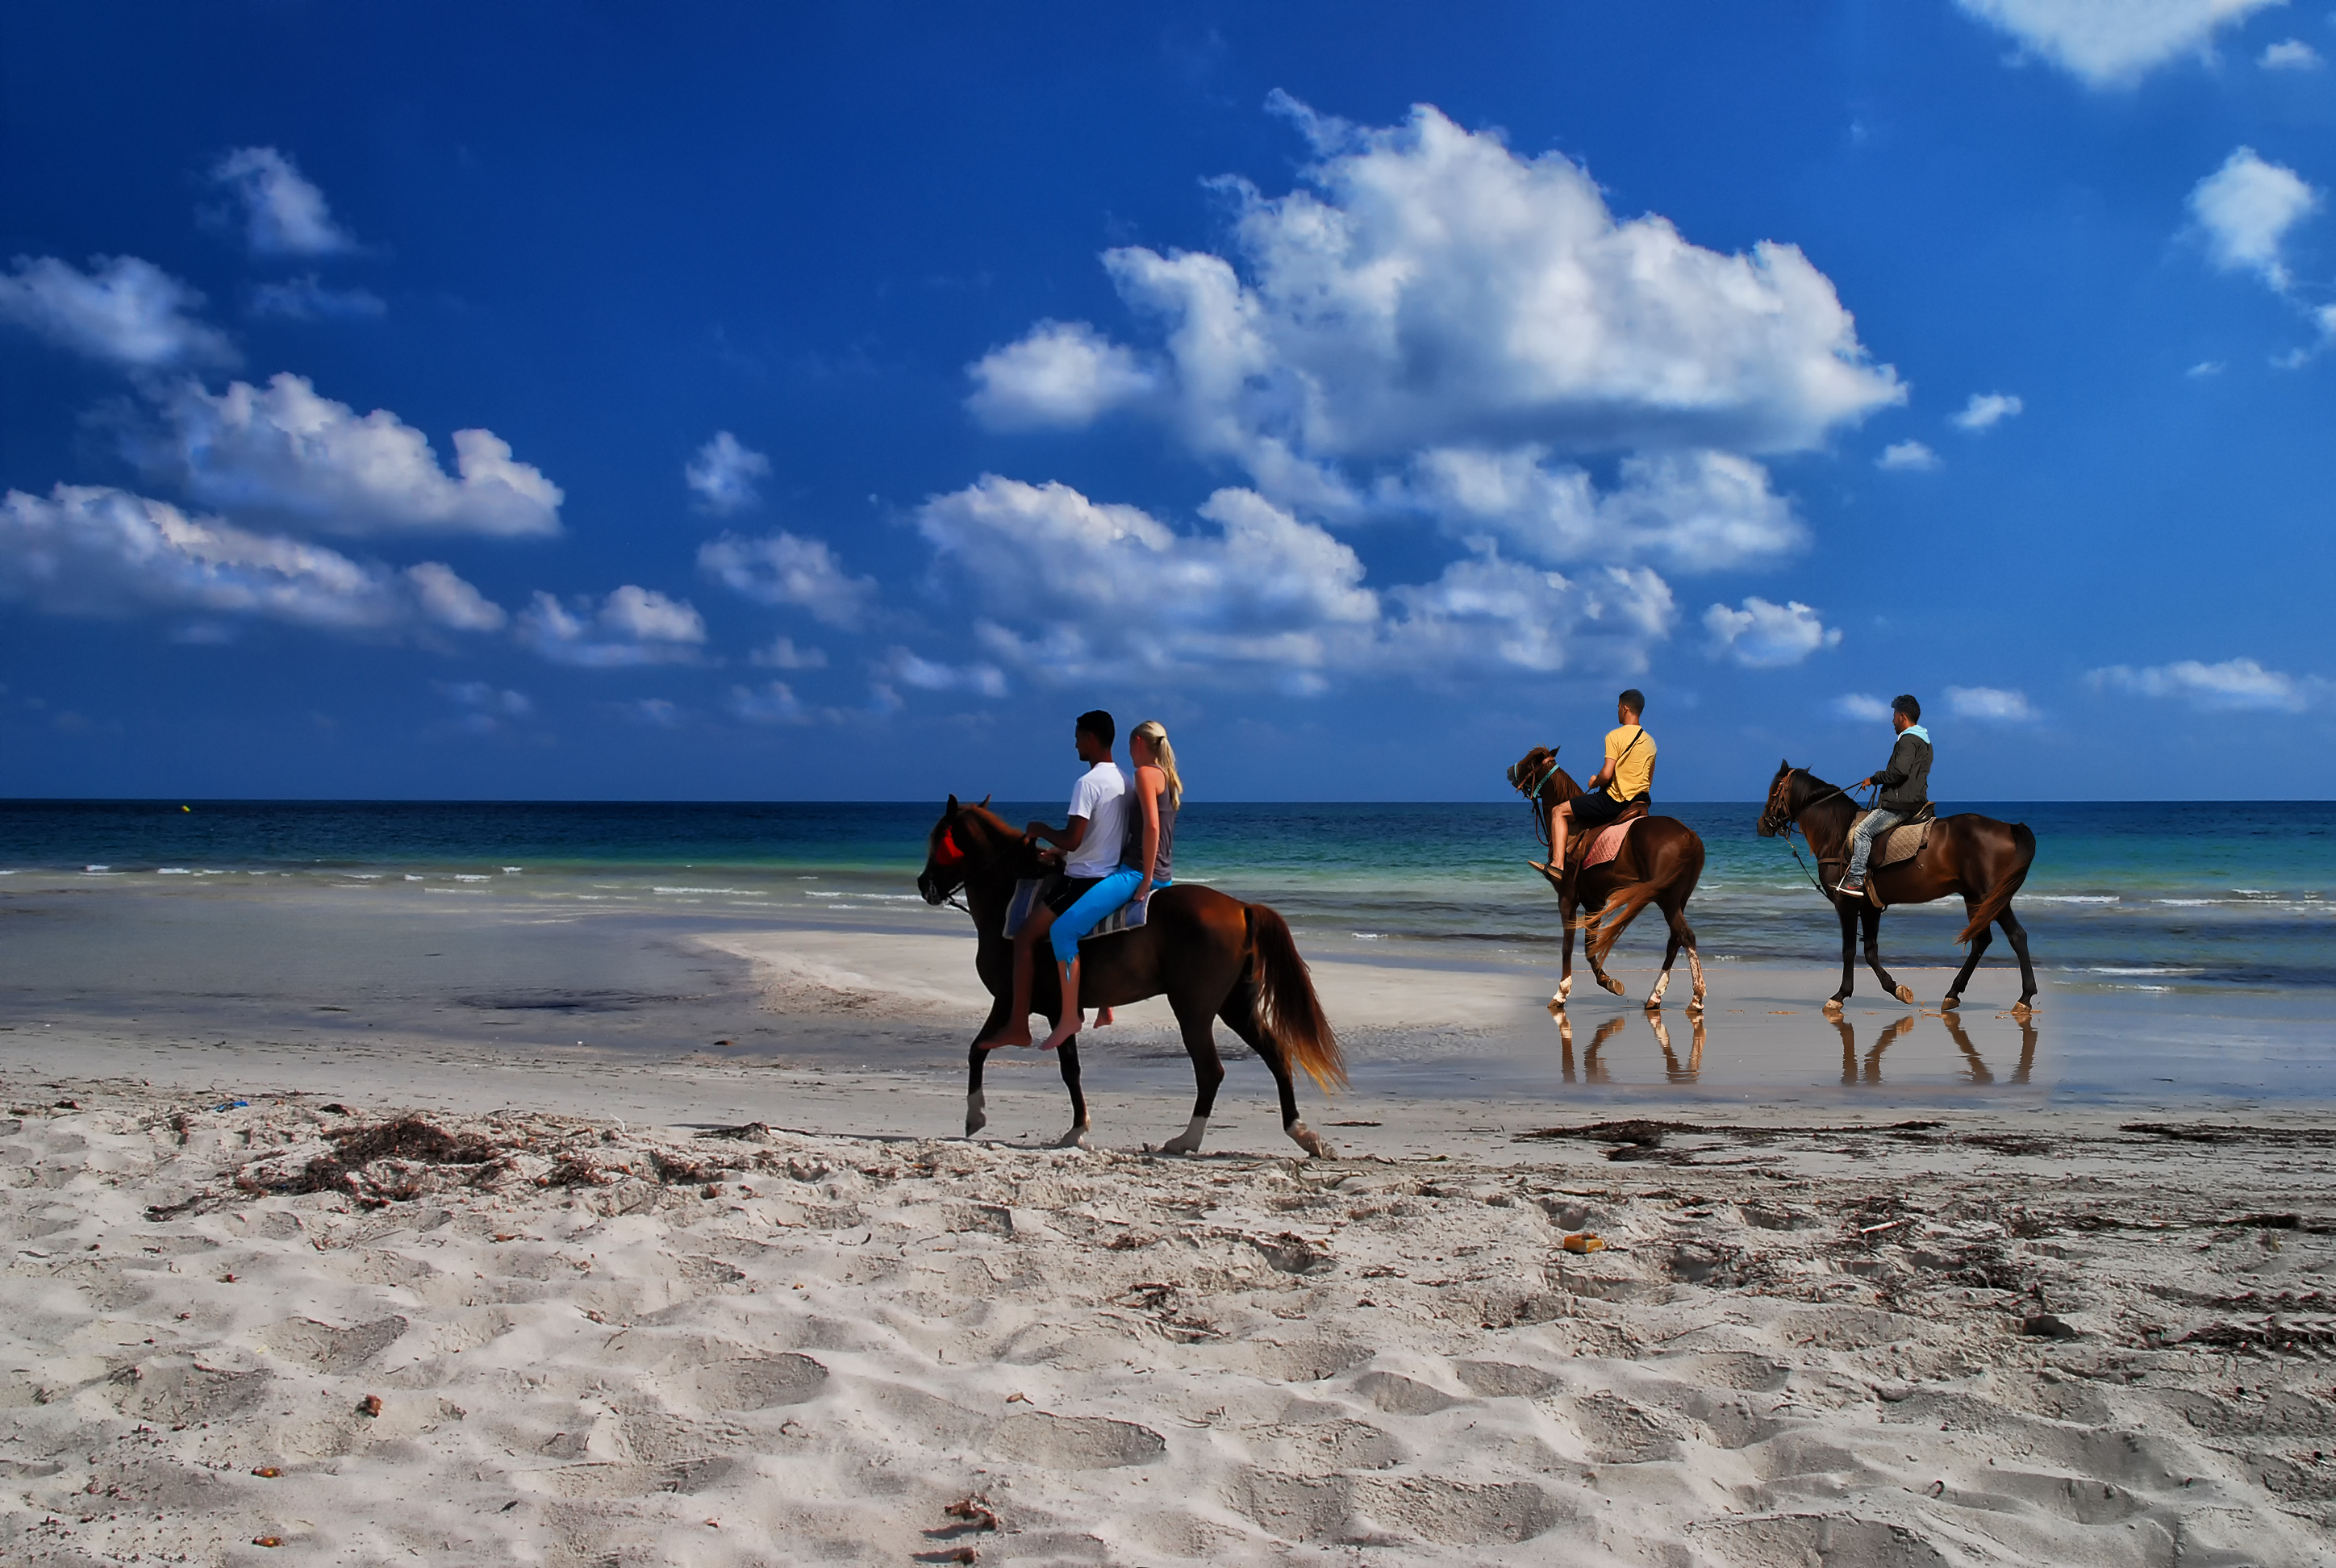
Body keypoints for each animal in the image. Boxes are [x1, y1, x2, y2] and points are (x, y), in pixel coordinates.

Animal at [916, 799, 1354, 1154]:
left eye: (937, 839)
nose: (923, 884)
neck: (1009, 897)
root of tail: (1241, 908)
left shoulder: (1024, 1003)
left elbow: (1024, 1059)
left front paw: (1058, 1128)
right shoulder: (1029, 1005)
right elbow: (991, 1052)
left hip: (1194, 1011)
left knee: (1211, 1071)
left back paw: (1187, 1140)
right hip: (1236, 1006)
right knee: (1277, 1056)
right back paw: (1301, 1133)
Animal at [1504, 752, 1709, 1019]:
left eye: (1529, 760)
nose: (1509, 771)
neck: (1575, 828)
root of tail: (1688, 836)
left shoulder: (1568, 898)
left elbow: (1568, 946)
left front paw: (1562, 992)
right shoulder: (1595, 902)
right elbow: (1589, 948)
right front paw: (1609, 982)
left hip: (1667, 899)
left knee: (1685, 935)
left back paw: (1696, 997)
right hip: (1677, 898)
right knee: (1676, 938)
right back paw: (1655, 995)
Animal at [1756, 761, 2037, 1019]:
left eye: (1774, 791)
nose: (1762, 824)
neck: (1838, 834)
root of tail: (2008, 827)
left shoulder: (1846, 902)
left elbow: (1850, 950)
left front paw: (1840, 996)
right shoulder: (1870, 906)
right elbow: (1870, 951)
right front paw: (1897, 989)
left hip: (1991, 895)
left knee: (2017, 936)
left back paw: (2024, 998)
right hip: (1975, 898)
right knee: (1981, 940)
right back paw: (1953, 994)